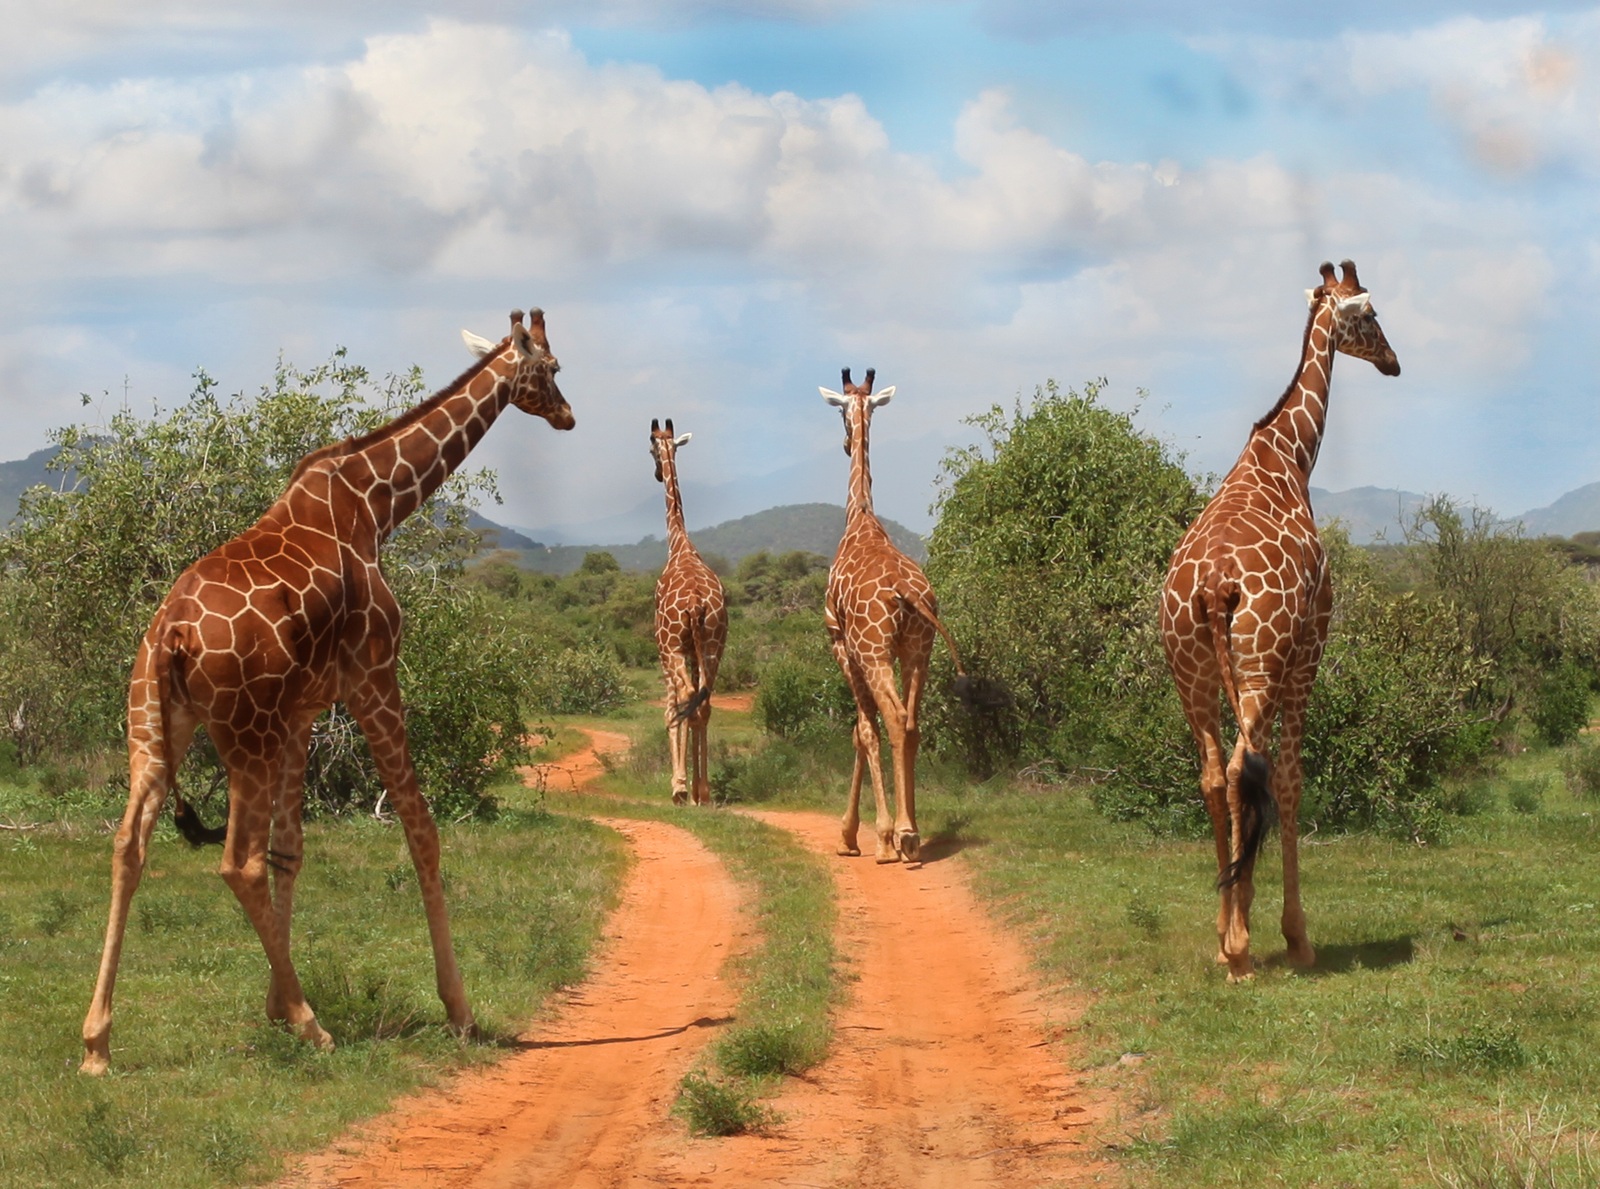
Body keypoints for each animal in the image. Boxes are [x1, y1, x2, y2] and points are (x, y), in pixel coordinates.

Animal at [80, 309, 573, 1075]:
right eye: (549, 368)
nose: (568, 415)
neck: (377, 502)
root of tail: (172, 632)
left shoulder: (302, 710)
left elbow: (293, 849)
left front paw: (274, 1004)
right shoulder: (372, 676)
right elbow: (420, 829)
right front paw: (457, 1009)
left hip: (158, 726)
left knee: (130, 844)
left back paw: (98, 1042)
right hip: (242, 732)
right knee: (237, 861)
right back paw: (315, 1026)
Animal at [822, 367, 966, 864]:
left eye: (840, 413)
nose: (846, 442)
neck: (860, 517)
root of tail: (906, 593)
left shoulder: (843, 646)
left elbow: (862, 730)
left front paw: (855, 836)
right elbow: (867, 728)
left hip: (877, 650)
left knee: (892, 720)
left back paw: (897, 836)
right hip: (920, 649)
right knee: (912, 723)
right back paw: (913, 832)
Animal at [1161, 260, 1400, 981]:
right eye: (1370, 315)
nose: (1393, 362)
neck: (1290, 454)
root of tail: (1213, 585)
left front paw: (1238, 913)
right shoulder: (1311, 641)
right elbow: (1291, 779)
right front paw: (1296, 936)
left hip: (1189, 668)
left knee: (1215, 772)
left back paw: (1225, 935)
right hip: (1261, 660)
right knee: (1248, 766)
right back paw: (1242, 948)